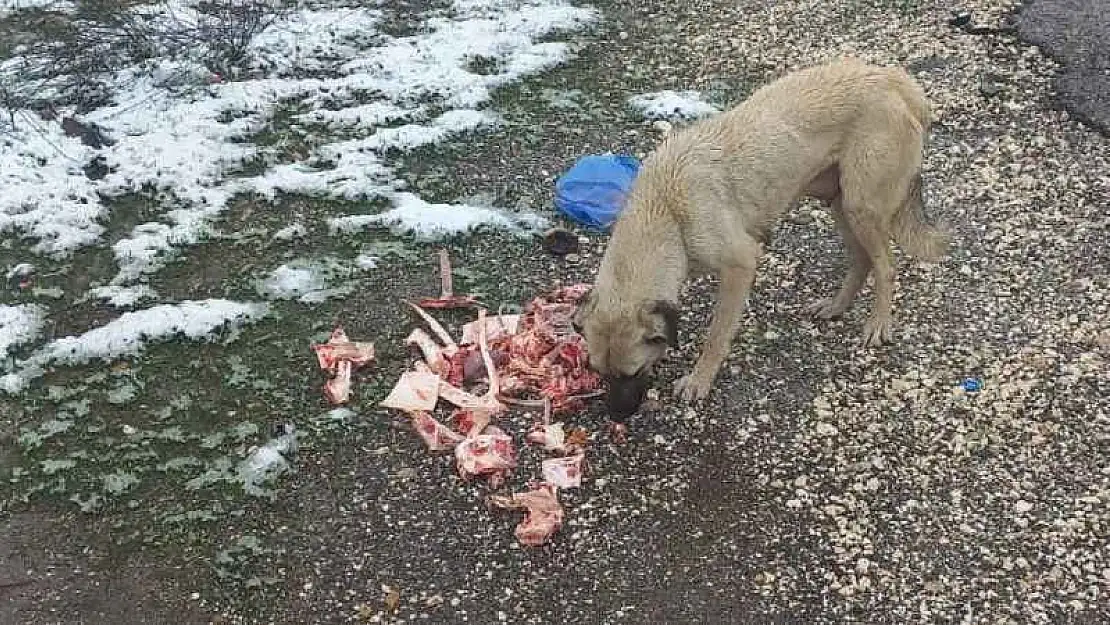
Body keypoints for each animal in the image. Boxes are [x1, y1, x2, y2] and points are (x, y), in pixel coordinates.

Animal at [577, 58, 950, 419]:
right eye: (599, 372)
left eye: (632, 373)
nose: (615, 417)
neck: (665, 211)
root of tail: (894, 79)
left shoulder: (740, 264)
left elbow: (716, 335)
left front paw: (699, 380)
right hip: (839, 201)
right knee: (862, 260)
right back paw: (836, 306)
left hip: (861, 206)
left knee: (885, 267)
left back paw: (878, 323)